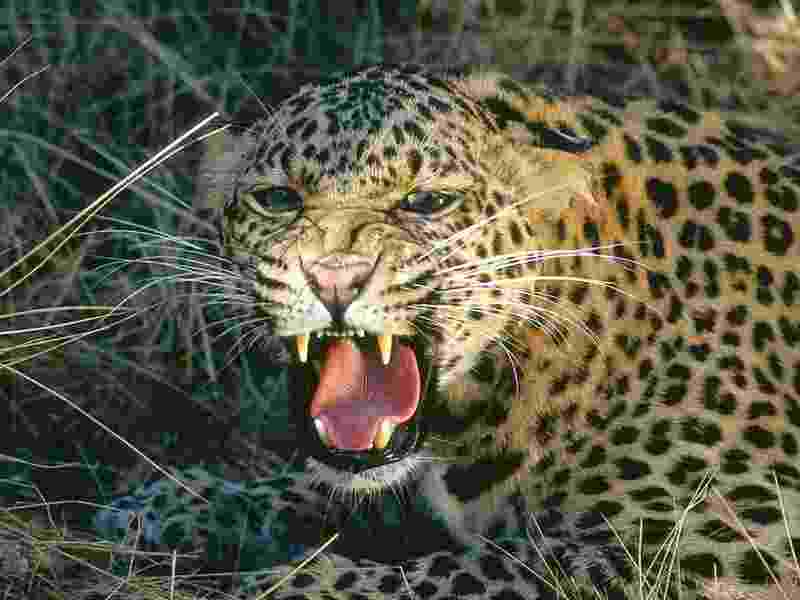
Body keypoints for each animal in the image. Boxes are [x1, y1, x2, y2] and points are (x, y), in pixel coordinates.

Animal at [101, 63, 800, 599]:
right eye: (278, 199)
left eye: (428, 202)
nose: (333, 278)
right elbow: (325, 485)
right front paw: (178, 504)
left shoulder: (728, 539)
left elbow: (475, 572)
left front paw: (263, 585)